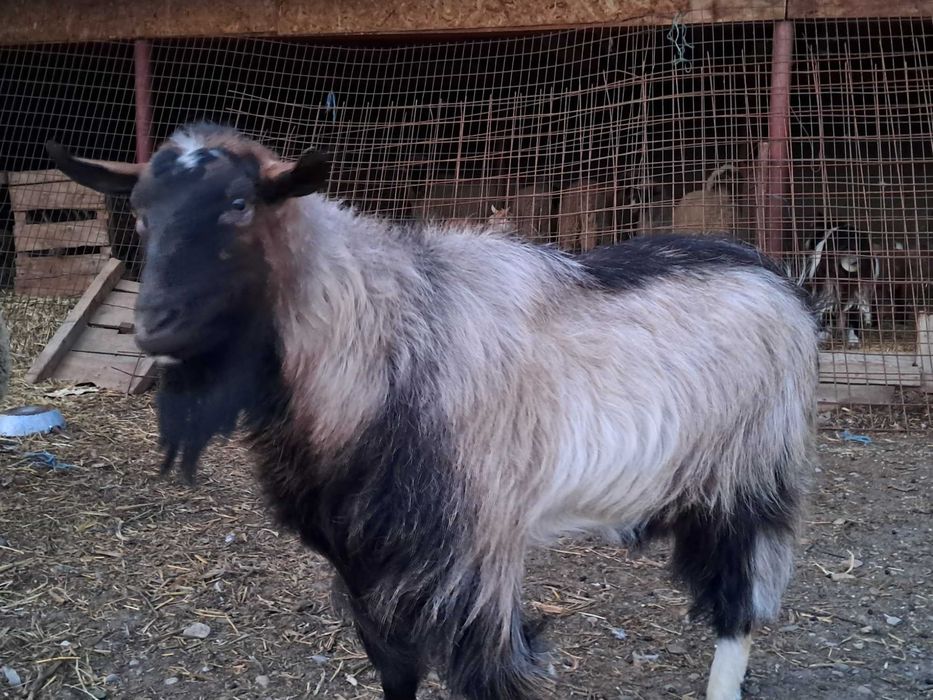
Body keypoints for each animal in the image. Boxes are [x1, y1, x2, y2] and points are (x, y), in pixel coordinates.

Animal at [47, 123, 819, 700]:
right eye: (141, 211)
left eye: (239, 204)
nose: (152, 324)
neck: (379, 331)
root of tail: (766, 270)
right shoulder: (363, 563)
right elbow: (396, 672)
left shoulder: (473, 559)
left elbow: (486, 678)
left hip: (746, 482)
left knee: (738, 606)